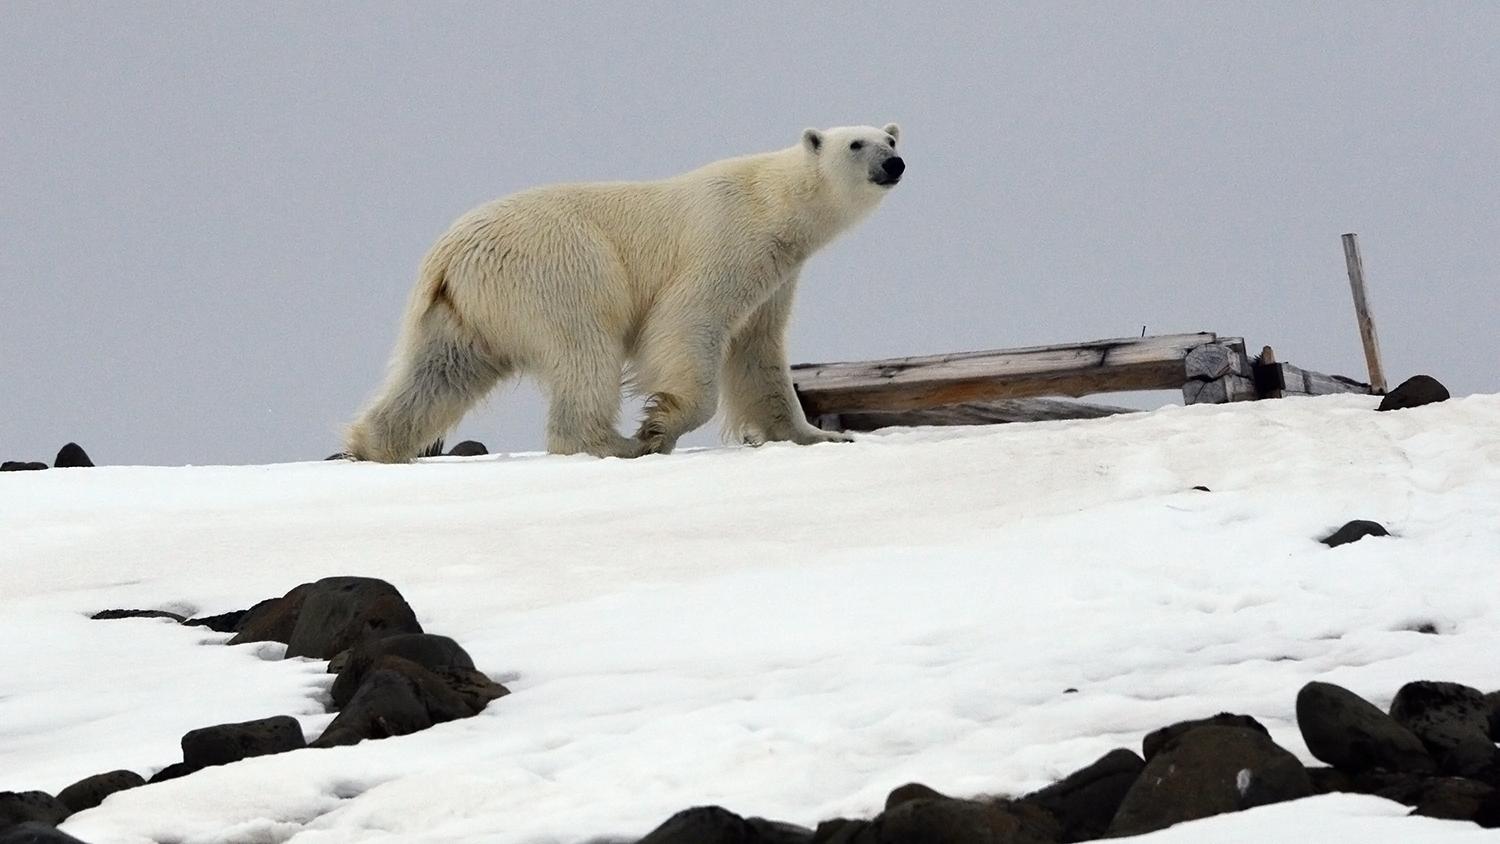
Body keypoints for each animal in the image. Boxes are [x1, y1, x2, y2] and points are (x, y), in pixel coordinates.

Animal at [345, 122, 900, 458]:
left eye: (891, 140)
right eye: (856, 144)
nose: (894, 164)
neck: (773, 203)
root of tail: (446, 252)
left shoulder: (776, 277)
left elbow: (757, 354)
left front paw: (824, 434)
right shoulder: (728, 242)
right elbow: (686, 322)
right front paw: (657, 428)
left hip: (466, 307)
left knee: (440, 371)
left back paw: (374, 444)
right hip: (558, 269)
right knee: (586, 349)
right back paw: (612, 443)